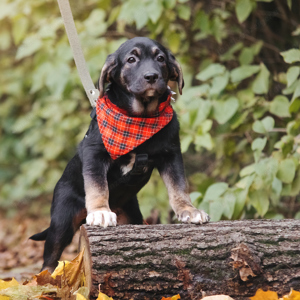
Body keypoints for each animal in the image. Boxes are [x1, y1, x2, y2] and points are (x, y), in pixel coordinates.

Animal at [29, 37, 209, 272]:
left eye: (161, 58)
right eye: (131, 60)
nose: (152, 76)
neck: (140, 118)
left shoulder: (172, 155)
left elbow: (178, 186)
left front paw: (189, 210)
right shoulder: (95, 154)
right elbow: (97, 185)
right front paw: (100, 211)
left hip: (132, 214)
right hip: (62, 218)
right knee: (50, 258)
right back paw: (47, 278)